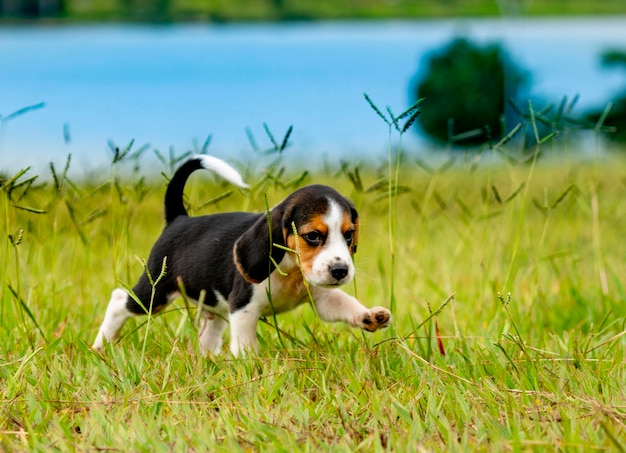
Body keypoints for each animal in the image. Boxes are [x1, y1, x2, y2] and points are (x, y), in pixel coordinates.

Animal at [91, 155, 390, 356]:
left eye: (349, 234)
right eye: (313, 236)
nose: (341, 271)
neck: (291, 271)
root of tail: (178, 219)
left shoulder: (321, 297)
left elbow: (344, 304)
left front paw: (370, 316)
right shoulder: (243, 307)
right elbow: (246, 343)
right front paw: (250, 364)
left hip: (213, 307)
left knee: (207, 336)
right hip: (155, 293)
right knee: (118, 300)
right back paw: (100, 345)